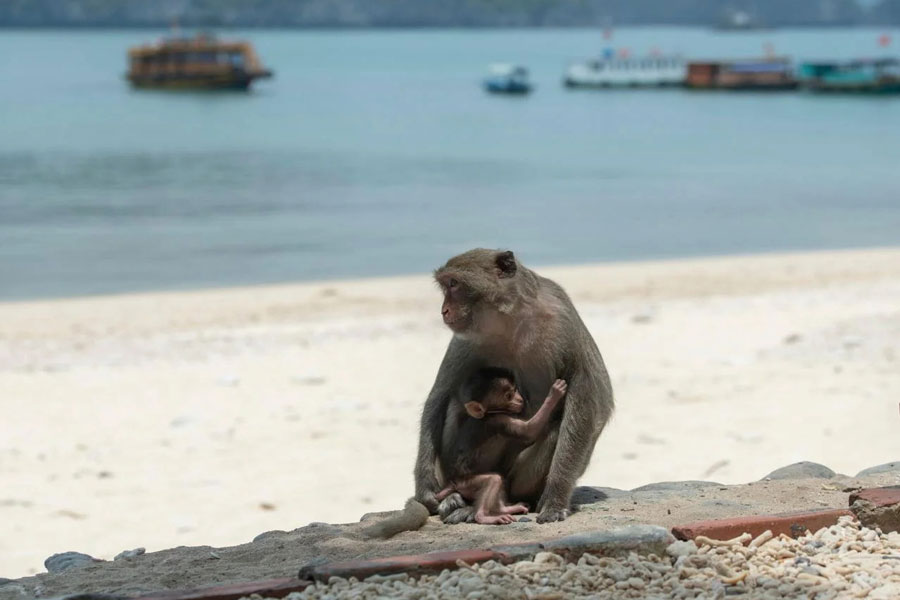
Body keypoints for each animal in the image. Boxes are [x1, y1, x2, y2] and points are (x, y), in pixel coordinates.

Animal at [438, 370, 568, 524]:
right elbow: (528, 431)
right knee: (493, 480)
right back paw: (484, 516)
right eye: (508, 396)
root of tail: (452, 483)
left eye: (515, 389)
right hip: (466, 482)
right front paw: (554, 395)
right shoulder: (499, 421)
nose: (519, 399)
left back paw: (506, 509)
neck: (488, 414)